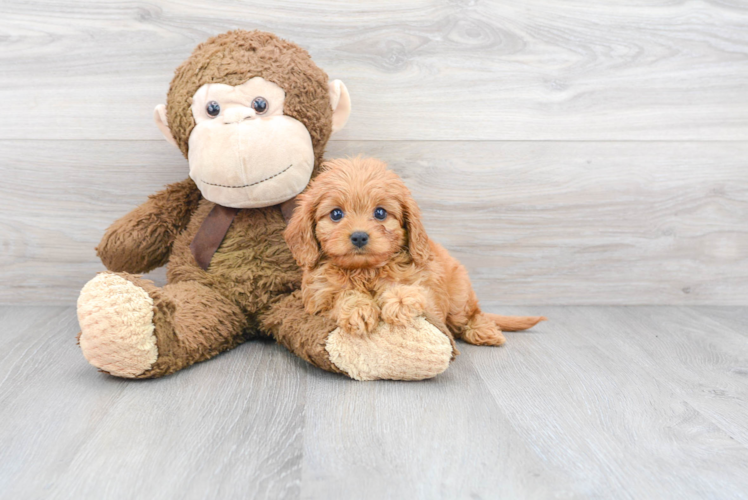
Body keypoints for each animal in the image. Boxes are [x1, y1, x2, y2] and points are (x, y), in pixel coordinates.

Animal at [284, 158, 544, 346]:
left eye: (380, 213)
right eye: (336, 214)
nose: (359, 236)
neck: (365, 271)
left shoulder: (429, 294)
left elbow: (411, 290)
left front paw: (398, 302)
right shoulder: (317, 299)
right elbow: (341, 296)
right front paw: (358, 309)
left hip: (459, 296)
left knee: (471, 314)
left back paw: (484, 331)